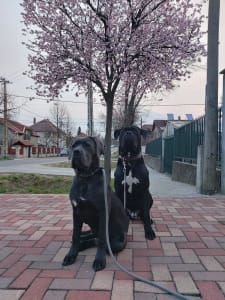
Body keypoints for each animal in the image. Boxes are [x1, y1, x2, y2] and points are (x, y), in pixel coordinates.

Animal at [62, 136, 128, 272]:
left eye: (87, 145)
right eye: (74, 145)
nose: (76, 152)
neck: (86, 178)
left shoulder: (102, 213)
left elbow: (102, 240)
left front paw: (99, 260)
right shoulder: (76, 211)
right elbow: (75, 235)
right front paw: (71, 255)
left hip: (118, 242)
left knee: (98, 240)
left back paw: (84, 244)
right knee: (91, 235)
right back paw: (82, 238)